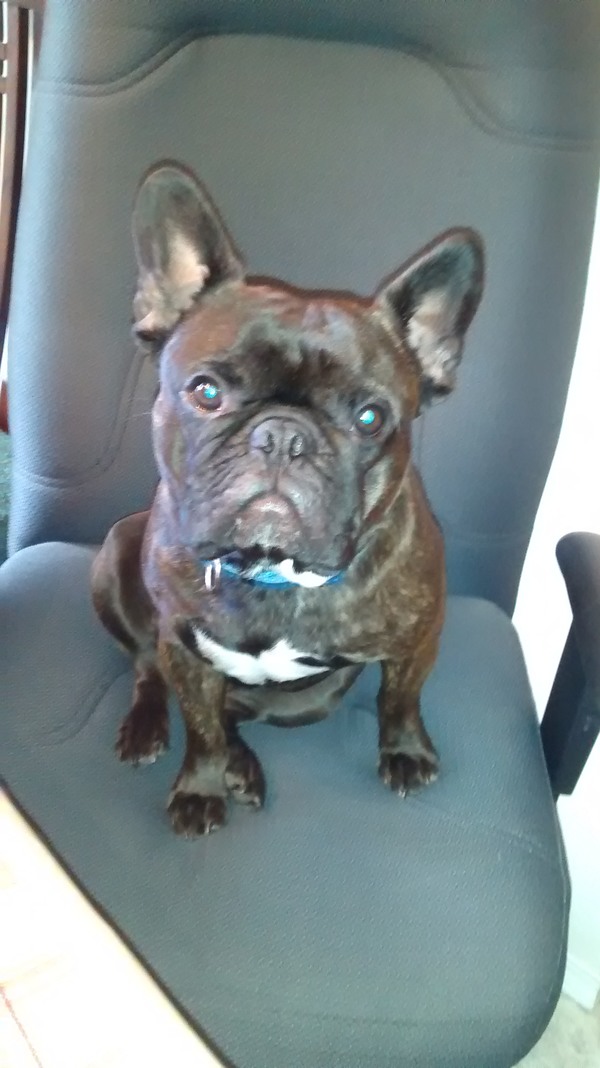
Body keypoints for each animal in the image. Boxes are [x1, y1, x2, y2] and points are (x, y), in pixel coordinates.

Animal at [92, 161, 484, 837]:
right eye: (206, 391)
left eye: (370, 417)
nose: (283, 435)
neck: (272, 571)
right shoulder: (183, 650)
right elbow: (198, 727)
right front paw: (200, 787)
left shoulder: (418, 638)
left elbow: (400, 698)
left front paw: (406, 751)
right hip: (114, 562)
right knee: (147, 668)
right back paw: (157, 731)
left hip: (313, 700)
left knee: (244, 711)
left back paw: (243, 761)